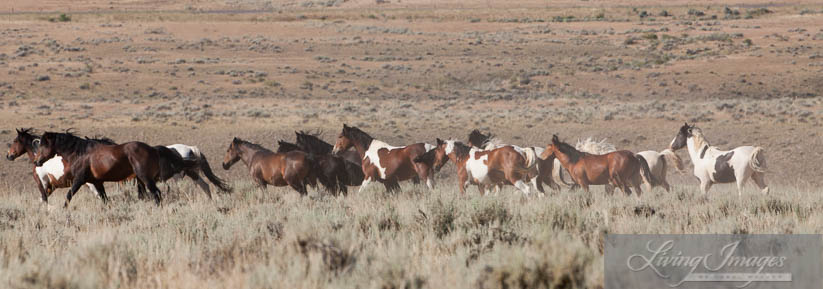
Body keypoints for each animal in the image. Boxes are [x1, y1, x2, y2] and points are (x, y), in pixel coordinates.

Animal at [34, 130, 166, 205]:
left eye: (44, 145)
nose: (36, 162)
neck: (80, 153)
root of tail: (153, 149)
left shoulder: (79, 180)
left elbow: (68, 196)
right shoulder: (97, 182)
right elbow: (104, 199)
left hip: (145, 178)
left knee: (156, 193)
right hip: (141, 180)